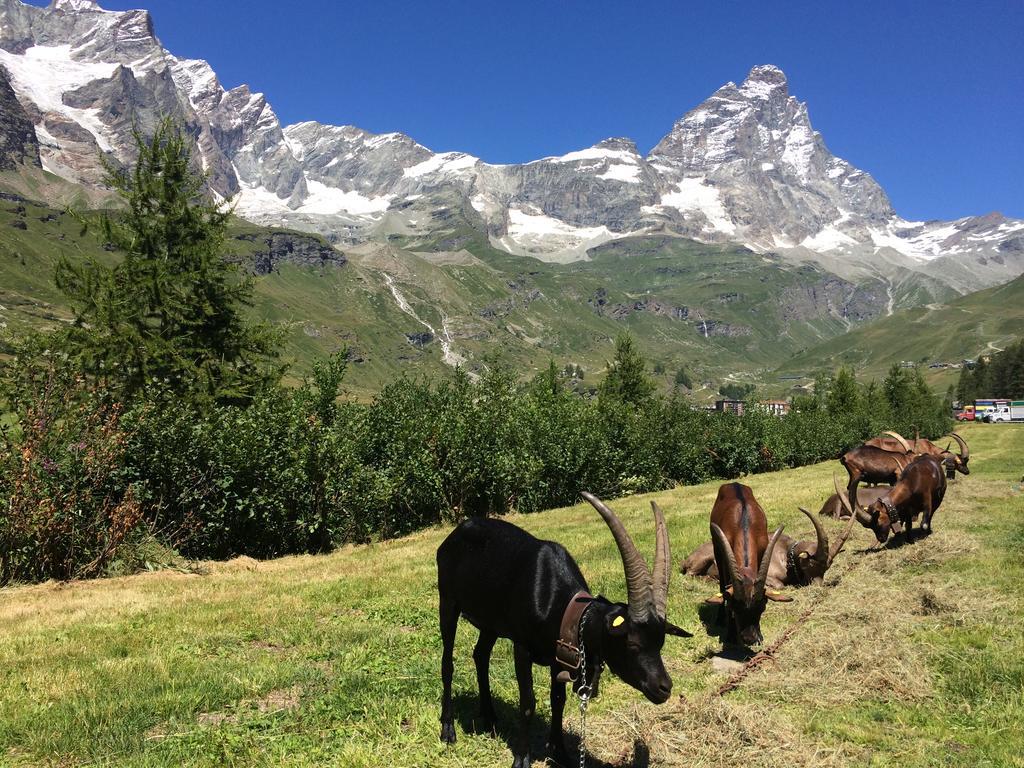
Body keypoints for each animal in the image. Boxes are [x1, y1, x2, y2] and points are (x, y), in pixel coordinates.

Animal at [436, 493, 692, 768]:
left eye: (661, 642)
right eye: (632, 643)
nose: (664, 688)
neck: (557, 601)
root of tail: (453, 535)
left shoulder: (561, 653)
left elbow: (558, 700)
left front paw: (559, 752)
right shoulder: (522, 647)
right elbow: (528, 702)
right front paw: (522, 757)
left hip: (490, 622)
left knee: (480, 655)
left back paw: (490, 717)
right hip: (448, 602)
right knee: (448, 663)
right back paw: (448, 729)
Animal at [708, 487, 786, 651]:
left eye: (762, 607)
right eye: (734, 607)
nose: (749, 639)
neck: (744, 524)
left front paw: (759, 636)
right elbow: (726, 589)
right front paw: (731, 635)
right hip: (717, 550)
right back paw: (720, 618)